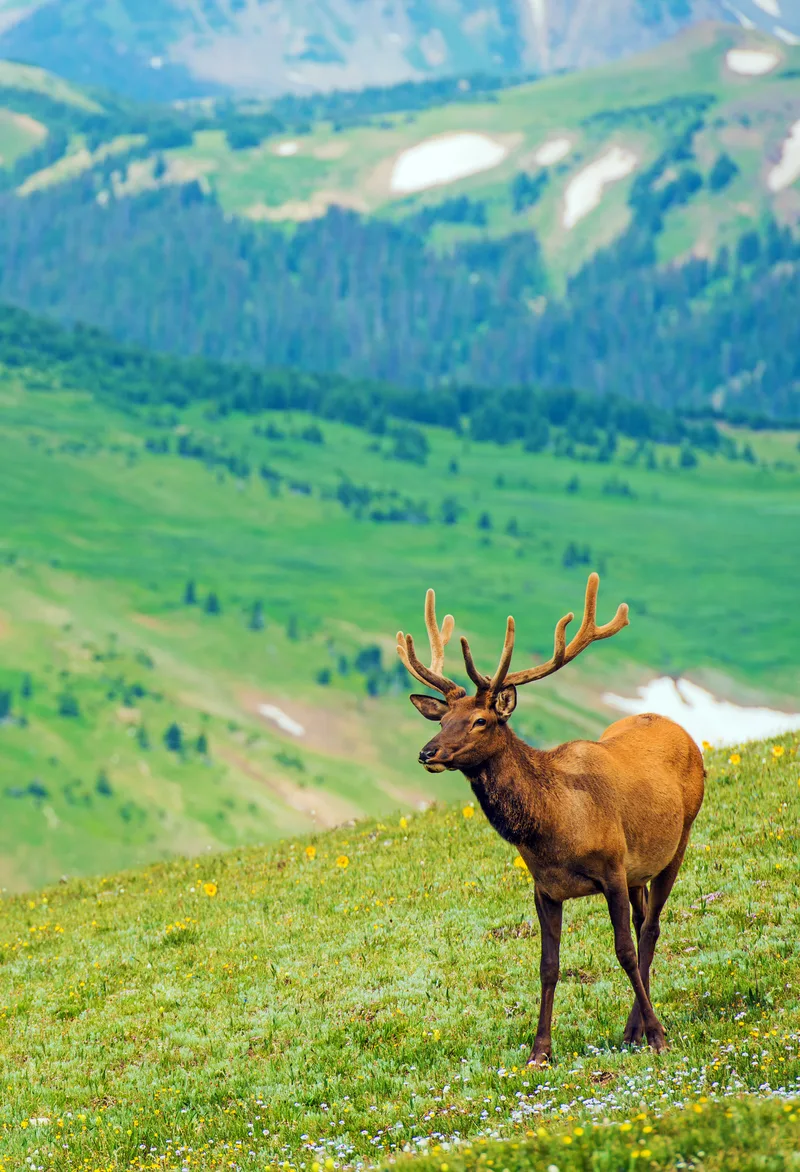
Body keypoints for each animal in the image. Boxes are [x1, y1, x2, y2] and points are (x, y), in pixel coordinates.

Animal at [396, 574, 704, 1064]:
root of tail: (683, 732)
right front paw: (540, 1051)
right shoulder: (544, 887)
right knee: (644, 926)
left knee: (651, 928)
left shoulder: (612, 869)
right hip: (640, 870)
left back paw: (639, 1029)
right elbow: (548, 966)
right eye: (442, 719)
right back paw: (632, 1028)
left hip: (679, 839)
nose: (428, 753)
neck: (555, 827)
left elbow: (623, 951)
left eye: (480, 720)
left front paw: (658, 1036)